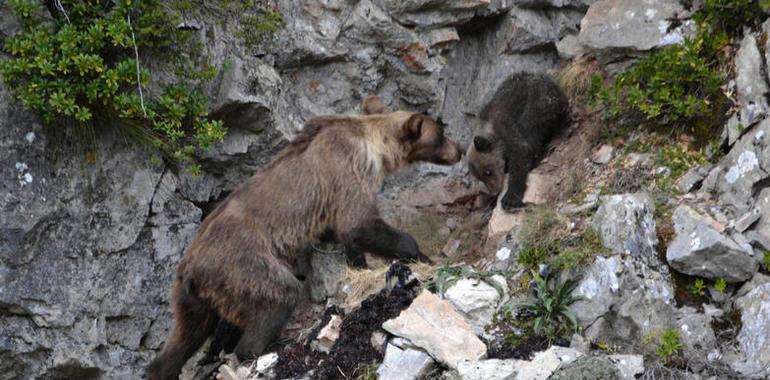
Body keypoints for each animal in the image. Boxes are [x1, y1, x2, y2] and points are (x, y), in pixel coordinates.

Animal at [145, 98, 460, 380]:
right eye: (440, 133)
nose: (458, 150)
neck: (376, 149)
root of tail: (190, 268)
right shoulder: (348, 170)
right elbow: (357, 223)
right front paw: (418, 254)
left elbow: (343, 238)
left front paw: (358, 263)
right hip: (241, 264)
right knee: (277, 296)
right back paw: (261, 348)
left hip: (192, 296)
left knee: (186, 334)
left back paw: (161, 368)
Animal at [462, 72, 564, 211]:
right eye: (480, 177)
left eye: (488, 172)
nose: (494, 192)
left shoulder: (507, 128)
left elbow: (521, 152)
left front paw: (510, 197)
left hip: (539, 102)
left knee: (532, 129)